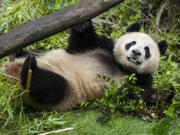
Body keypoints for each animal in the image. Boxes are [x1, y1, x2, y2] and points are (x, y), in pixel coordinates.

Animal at [1, 20, 167, 110]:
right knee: (32, 54)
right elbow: (78, 44)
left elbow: (133, 96)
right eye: (132, 43)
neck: (122, 66)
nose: (136, 52)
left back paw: (29, 69)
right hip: (40, 55)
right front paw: (83, 25)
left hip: (67, 90)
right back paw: (19, 54)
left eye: (147, 50)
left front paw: (158, 95)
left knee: (49, 86)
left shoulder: (141, 79)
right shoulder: (102, 46)